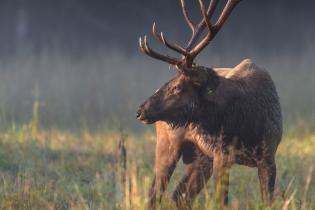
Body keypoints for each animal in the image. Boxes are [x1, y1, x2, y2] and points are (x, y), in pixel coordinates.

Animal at [137, 0, 282, 209]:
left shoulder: (268, 157)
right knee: (155, 194)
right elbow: (221, 202)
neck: (246, 126)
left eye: (177, 87)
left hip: (201, 158)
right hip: (167, 144)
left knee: (180, 195)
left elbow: (267, 201)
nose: (141, 110)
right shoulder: (223, 156)